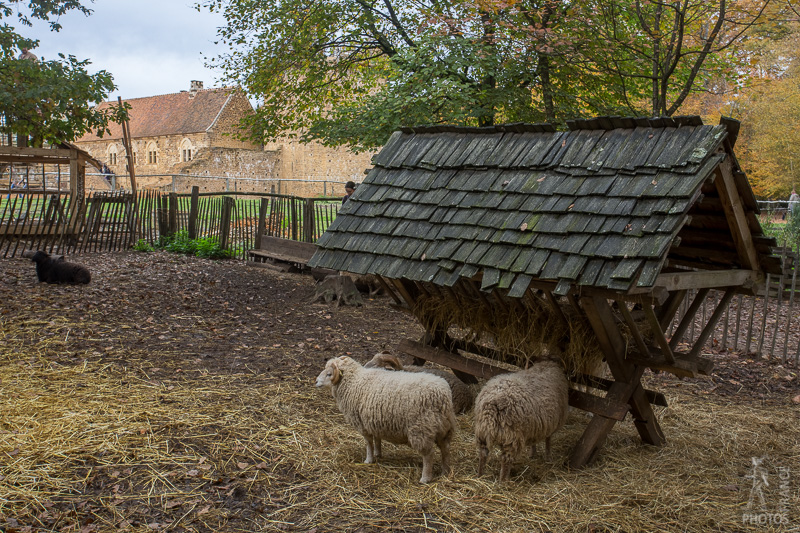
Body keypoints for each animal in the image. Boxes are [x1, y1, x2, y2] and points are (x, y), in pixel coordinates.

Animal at [318, 354, 456, 482]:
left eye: (329, 374)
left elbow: (368, 442)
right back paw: (445, 472)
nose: (316, 381)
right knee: (446, 449)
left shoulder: (362, 423)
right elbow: (377, 439)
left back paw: (425, 478)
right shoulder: (374, 420)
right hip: (445, 428)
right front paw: (378, 454)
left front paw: (368, 459)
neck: (354, 380)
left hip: (421, 429)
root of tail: (442, 395)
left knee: (428, 454)